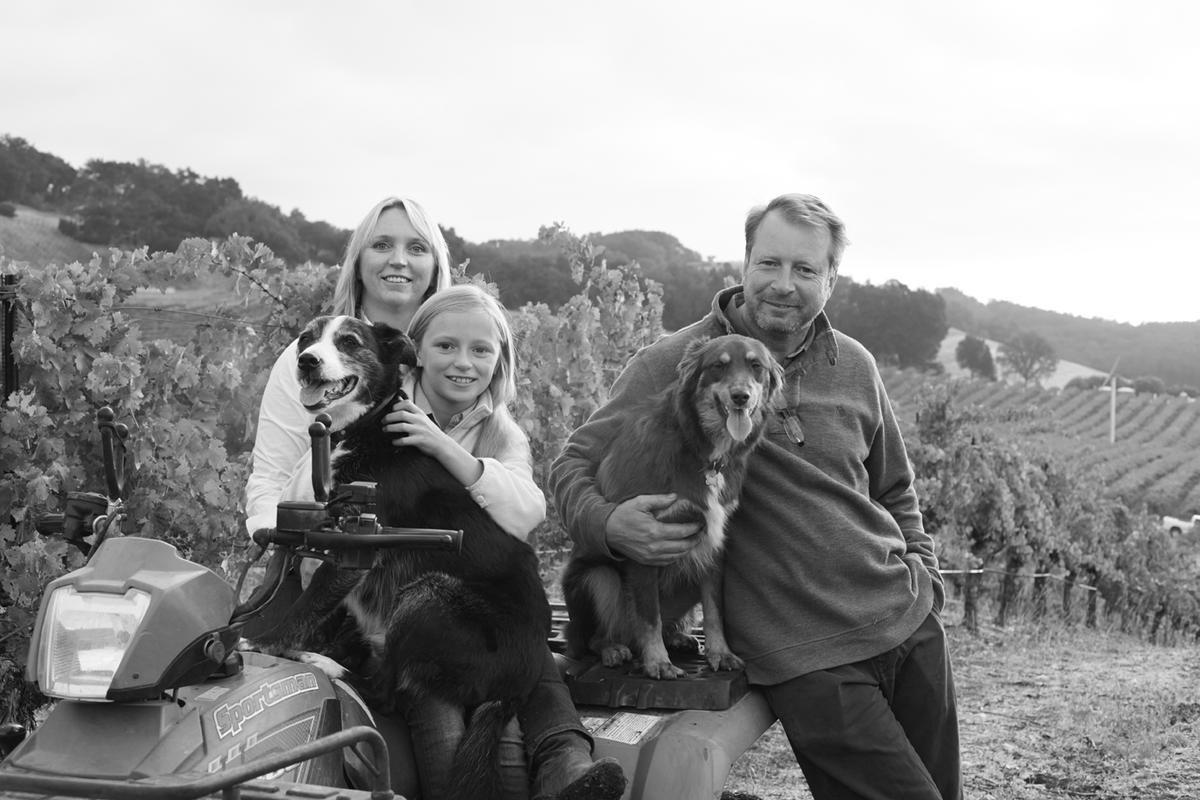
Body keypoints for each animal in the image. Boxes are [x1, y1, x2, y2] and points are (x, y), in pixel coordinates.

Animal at [561, 334, 783, 679]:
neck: (703, 450)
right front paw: (658, 662)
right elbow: (648, 616)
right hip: (598, 578)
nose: (741, 397)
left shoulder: (712, 542)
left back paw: (677, 636)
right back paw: (614, 649)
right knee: (594, 637)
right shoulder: (643, 543)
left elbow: (714, 609)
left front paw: (720, 653)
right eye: (718, 366)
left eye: (755, 366)